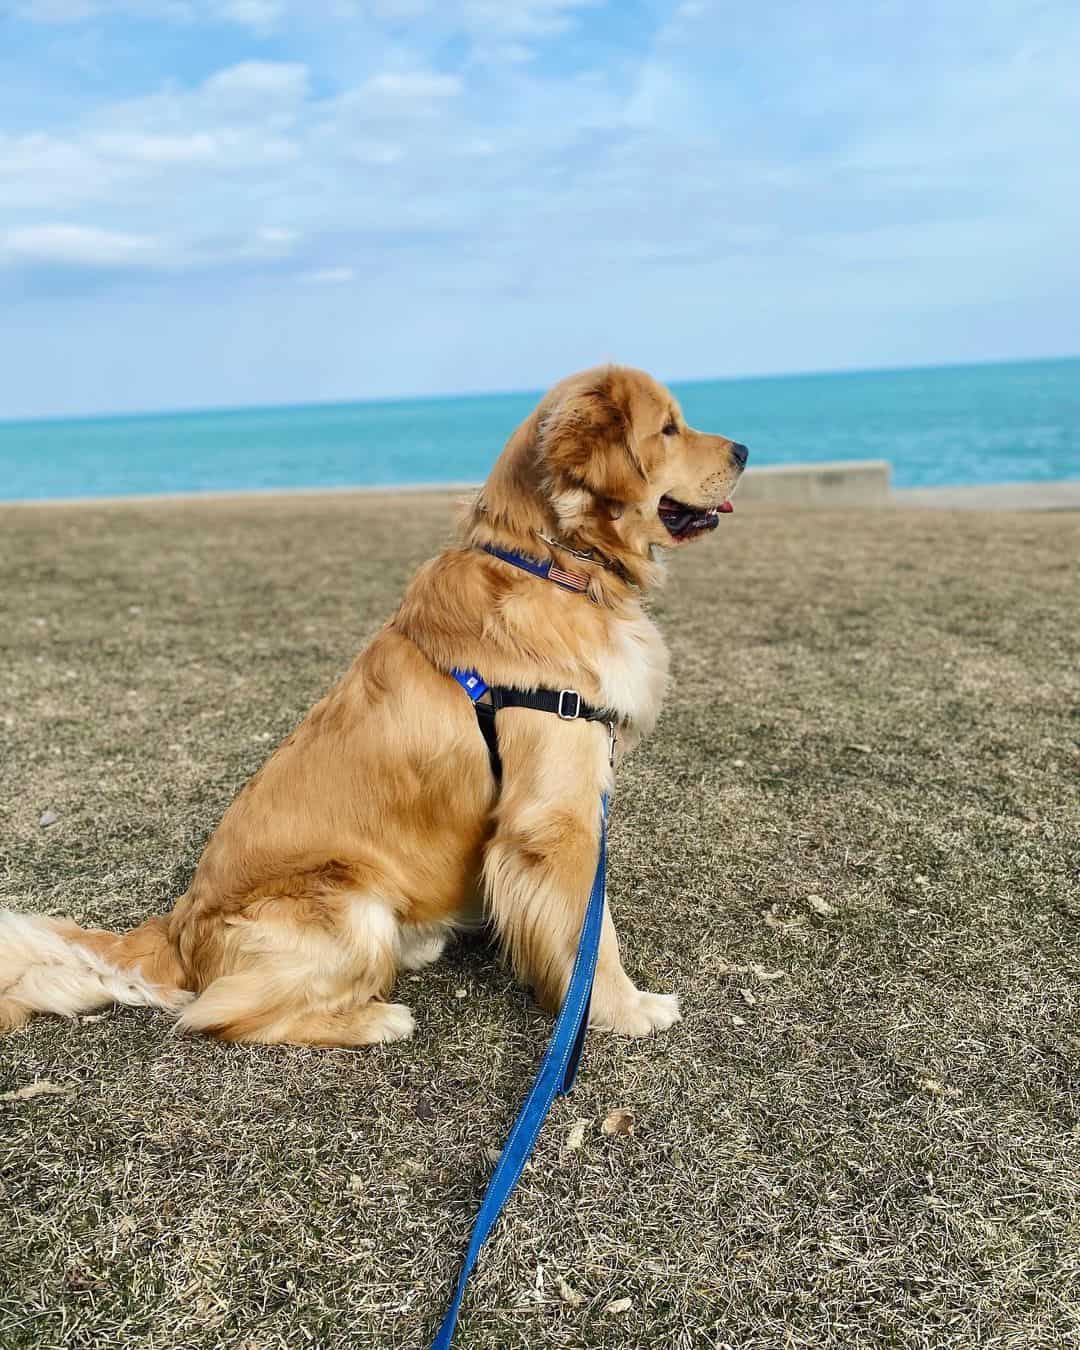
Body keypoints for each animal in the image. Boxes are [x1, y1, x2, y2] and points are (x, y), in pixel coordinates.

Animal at [0, 364, 745, 1047]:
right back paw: (374, 1018)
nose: (742, 450)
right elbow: (592, 932)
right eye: (669, 428)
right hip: (350, 903)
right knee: (224, 1015)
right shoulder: (554, 818)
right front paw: (625, 1008)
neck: (554, 563)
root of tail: (177, 929)